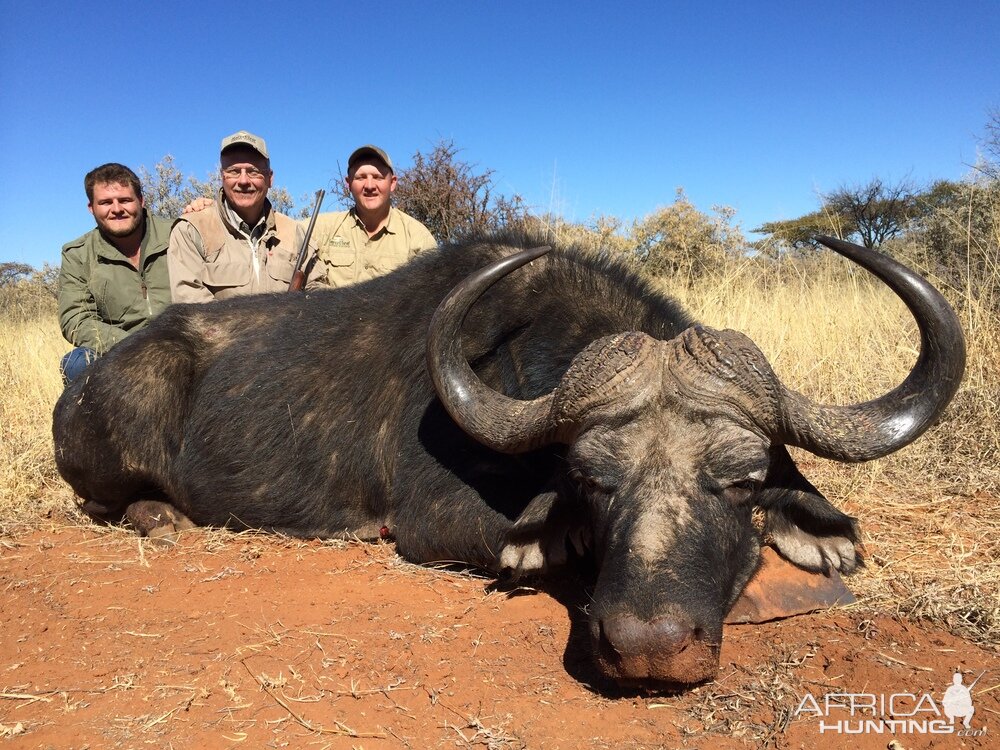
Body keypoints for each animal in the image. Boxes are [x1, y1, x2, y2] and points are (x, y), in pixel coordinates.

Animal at [52, 235, 960, 688]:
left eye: (740, 483)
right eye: (591, 483)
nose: (650, 646)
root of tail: (92, 380)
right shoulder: (430, 521)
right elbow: (543, 546)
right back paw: (158, 516)